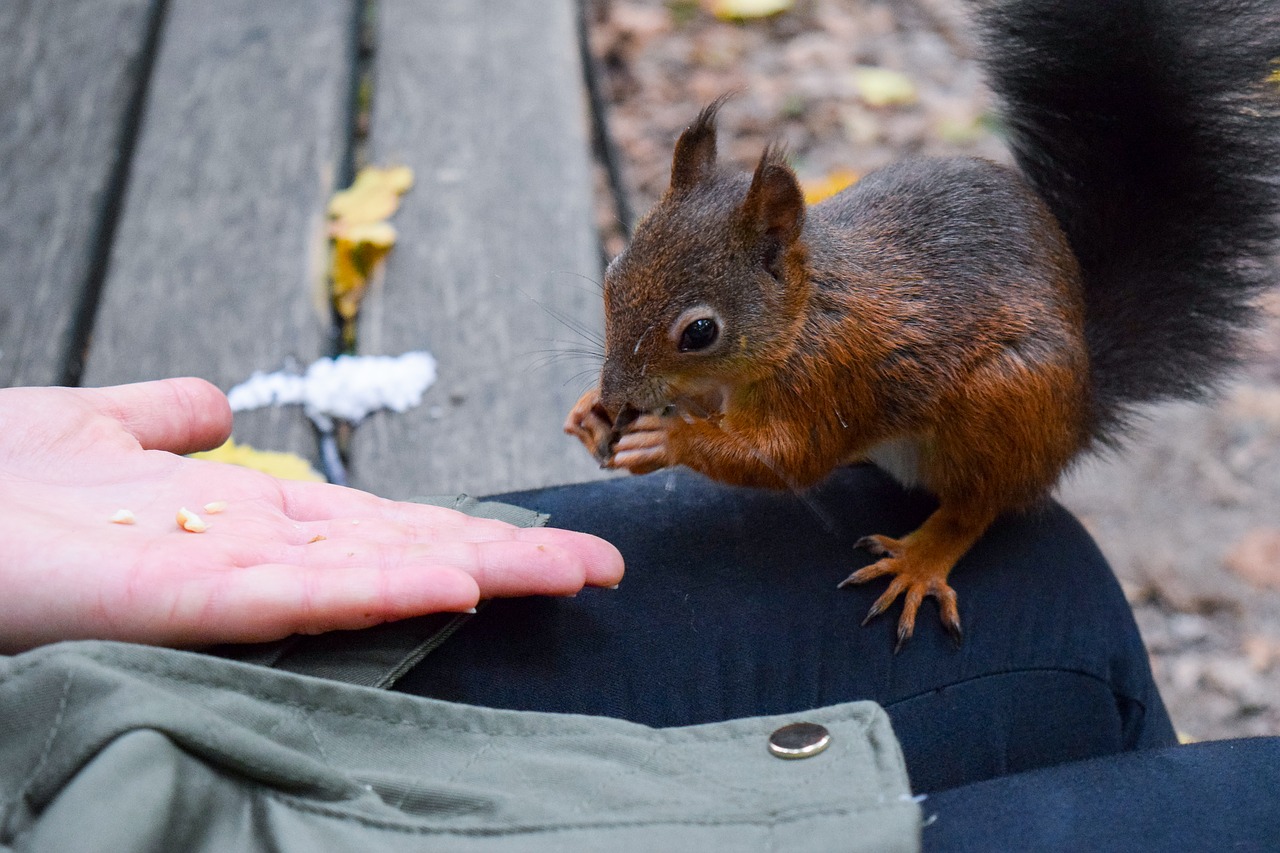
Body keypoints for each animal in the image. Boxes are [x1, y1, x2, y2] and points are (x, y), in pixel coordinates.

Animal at [565, 0, 1280, 648]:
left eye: (699, 332)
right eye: (613, 271)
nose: (617, 394)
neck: (802, 320)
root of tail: (1078, 416)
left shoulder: (834, 379)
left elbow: (785, 458)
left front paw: (667, 439)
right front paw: (591, 411)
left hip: (1006, 399)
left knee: (977, 504)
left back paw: (921, 560)